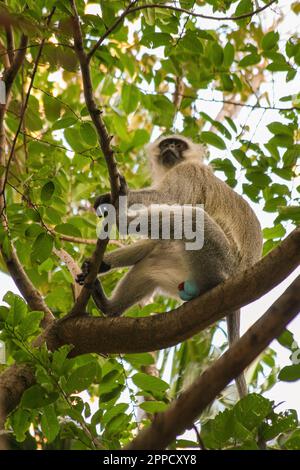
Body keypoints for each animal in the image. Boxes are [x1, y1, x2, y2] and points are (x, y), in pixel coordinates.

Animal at [77, 134, 262, 398]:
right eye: (166, 144)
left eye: (178, 145)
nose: (171, 148)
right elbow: (156, 240)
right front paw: (98, 264)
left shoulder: (190, 171)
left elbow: (170, 200)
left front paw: (120, 197)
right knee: (153, 259)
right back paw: (108, 306)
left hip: (221, 261)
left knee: (190, 217)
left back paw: (121, 218)